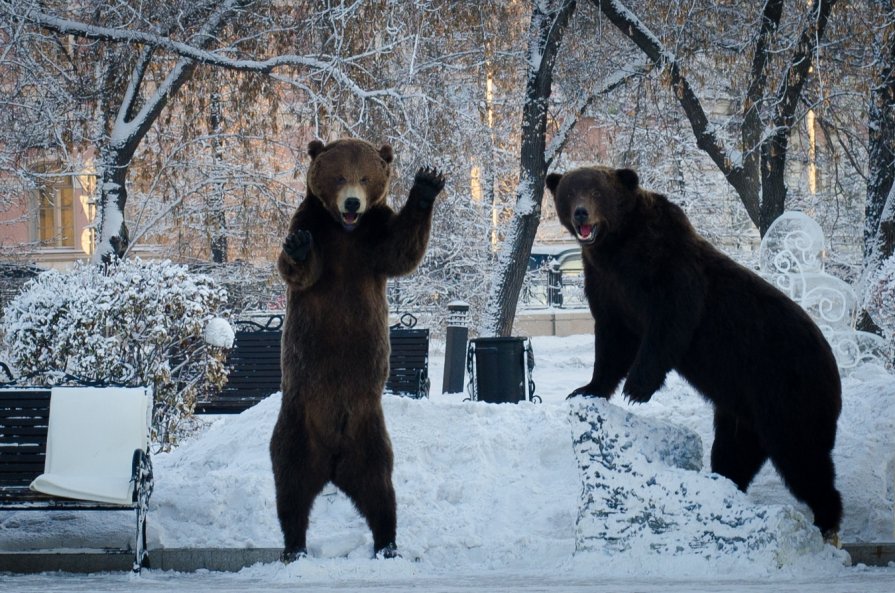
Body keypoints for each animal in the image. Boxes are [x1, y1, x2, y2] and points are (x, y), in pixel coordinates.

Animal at [270, 138, 444, 560]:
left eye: (364, 177)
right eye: (338, 176)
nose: (352, 203)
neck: (345, 231)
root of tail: (333, 461)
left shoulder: (373, 238)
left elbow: (402, 249)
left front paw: (427, 183)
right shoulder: (313, 224)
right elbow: (298, 267)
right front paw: (297, 247)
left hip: (369, 433)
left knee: (380, 491)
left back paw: (388, 544)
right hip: (297, 423)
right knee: (291, 488)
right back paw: (294, 547)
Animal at [544, 165, 848, 540]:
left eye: (598, 192)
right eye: (571, 192)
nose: (581, 213)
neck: (618, 249)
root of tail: (833, 370)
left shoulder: (669, 272)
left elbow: (670, 321)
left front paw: (636, 388)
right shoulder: (607, 287)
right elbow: (612, 342)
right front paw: (585, 388)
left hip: (787, 390)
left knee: (802, 456)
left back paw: (826, 520)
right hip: (743, 408)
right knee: (735, 450)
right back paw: (723, 485)